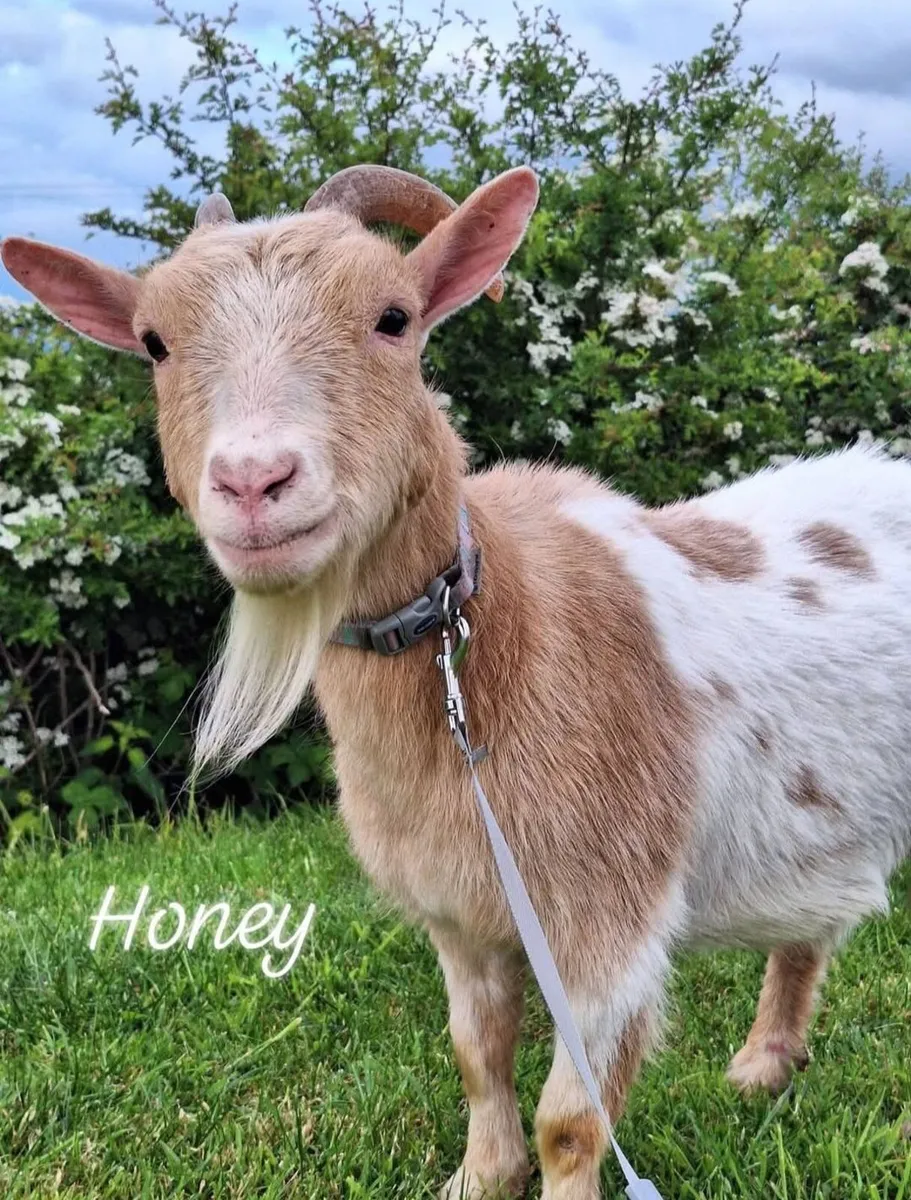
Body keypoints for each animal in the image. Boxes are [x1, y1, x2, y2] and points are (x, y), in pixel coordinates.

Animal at [4, 165, 911, 1200]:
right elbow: (476, 1052)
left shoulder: (609, 918)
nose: (253, 482)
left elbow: (574, 1118)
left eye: (394, 317)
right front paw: (479, 1177)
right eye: (154, 341)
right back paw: (764, 1065)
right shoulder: (459, 912)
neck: (488, 645)